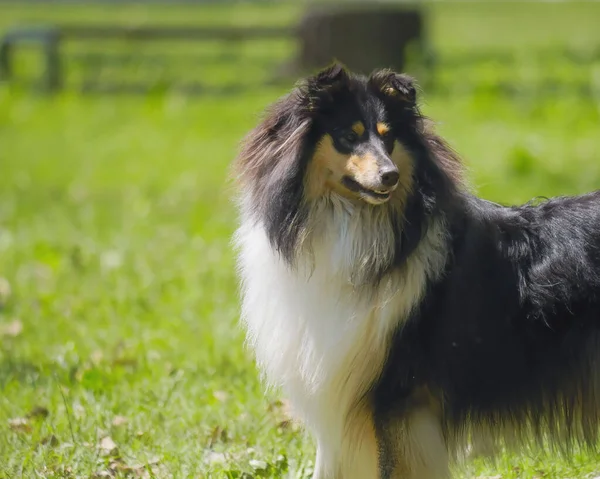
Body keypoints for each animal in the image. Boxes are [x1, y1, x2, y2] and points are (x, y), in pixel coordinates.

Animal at [232, 63, 600, 479]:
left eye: (388, 138)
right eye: (348, 136)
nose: (390, 175)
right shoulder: (344, 394)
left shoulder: (397, 395)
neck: (356, 226)